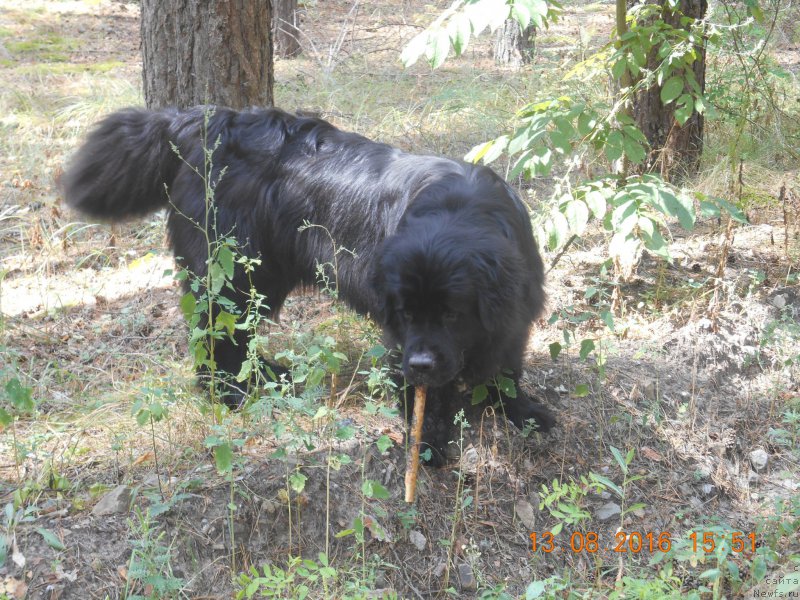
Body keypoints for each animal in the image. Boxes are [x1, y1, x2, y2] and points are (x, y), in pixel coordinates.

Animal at [62, 106, 552, 464]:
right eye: (408, 313)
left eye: (452, 313)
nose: (421, 364)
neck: (461, 210)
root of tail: (206, 120)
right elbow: (427, 396)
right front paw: (428, 439)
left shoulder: (515, 311)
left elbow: (508, 364)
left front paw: (521, 410)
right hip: (233, 268)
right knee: (217, 334)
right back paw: (234, 393)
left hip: (262, 273)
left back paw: (267, 376)